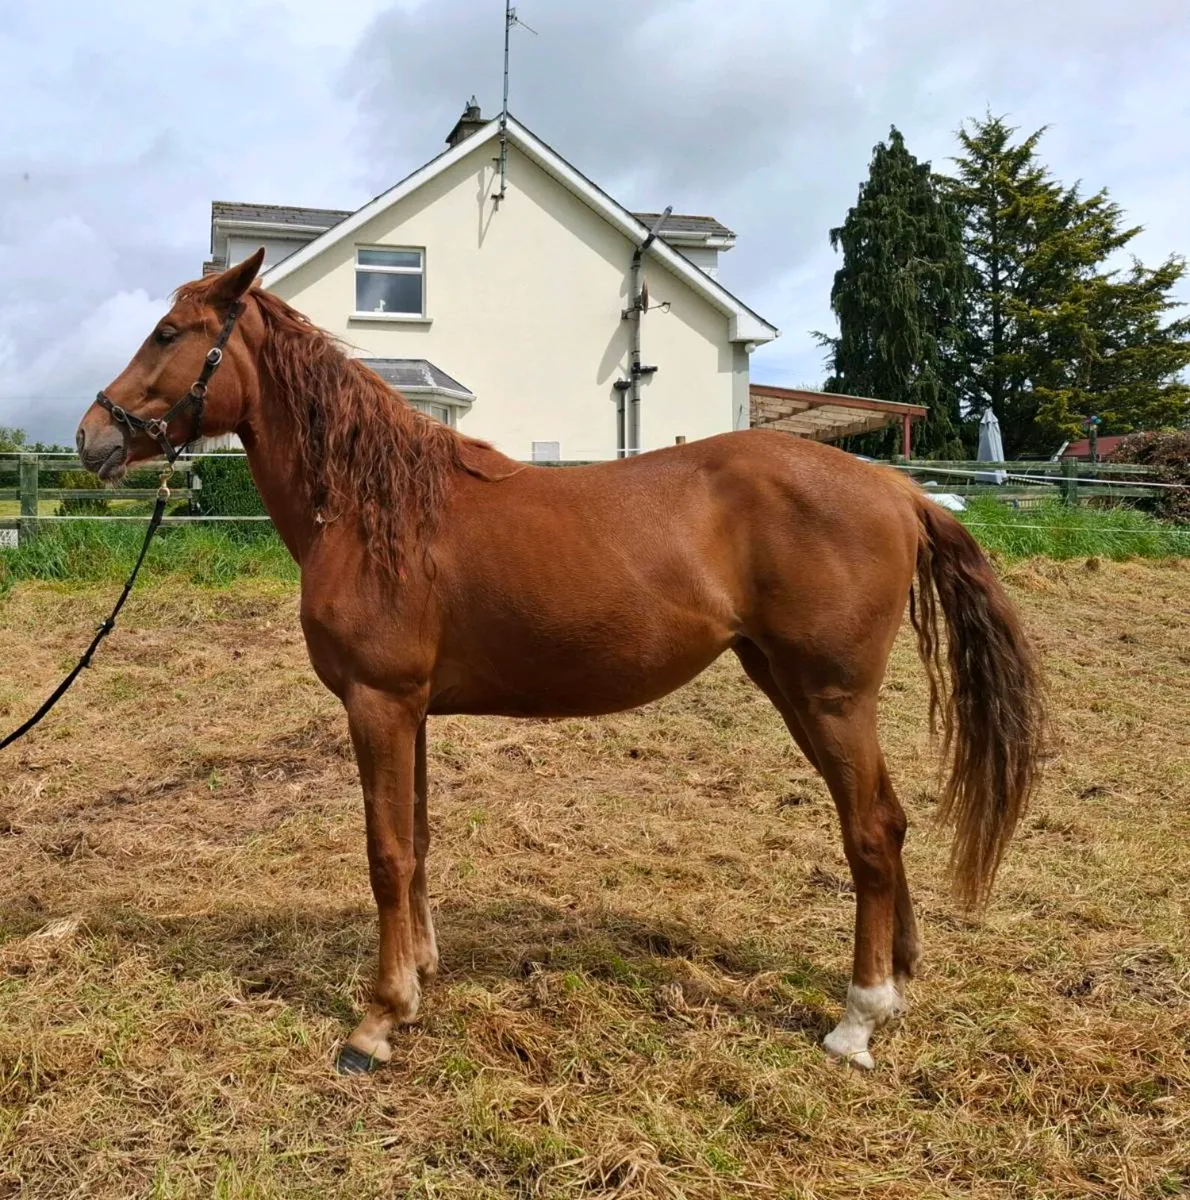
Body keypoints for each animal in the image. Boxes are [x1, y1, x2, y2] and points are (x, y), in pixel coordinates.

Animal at [75, 249, 1044, 1074]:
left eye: (168, 334)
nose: (92, 437)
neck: (372, 508)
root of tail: (898, 489)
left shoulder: (378, 702)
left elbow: (385, 854)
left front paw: (377, 1021)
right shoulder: (409, 710)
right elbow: (417, 843)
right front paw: (419, 977)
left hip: (830, 694)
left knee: (870, 831)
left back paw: (856, 1019)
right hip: (793, 687)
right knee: (887, 817)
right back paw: (898, 981)